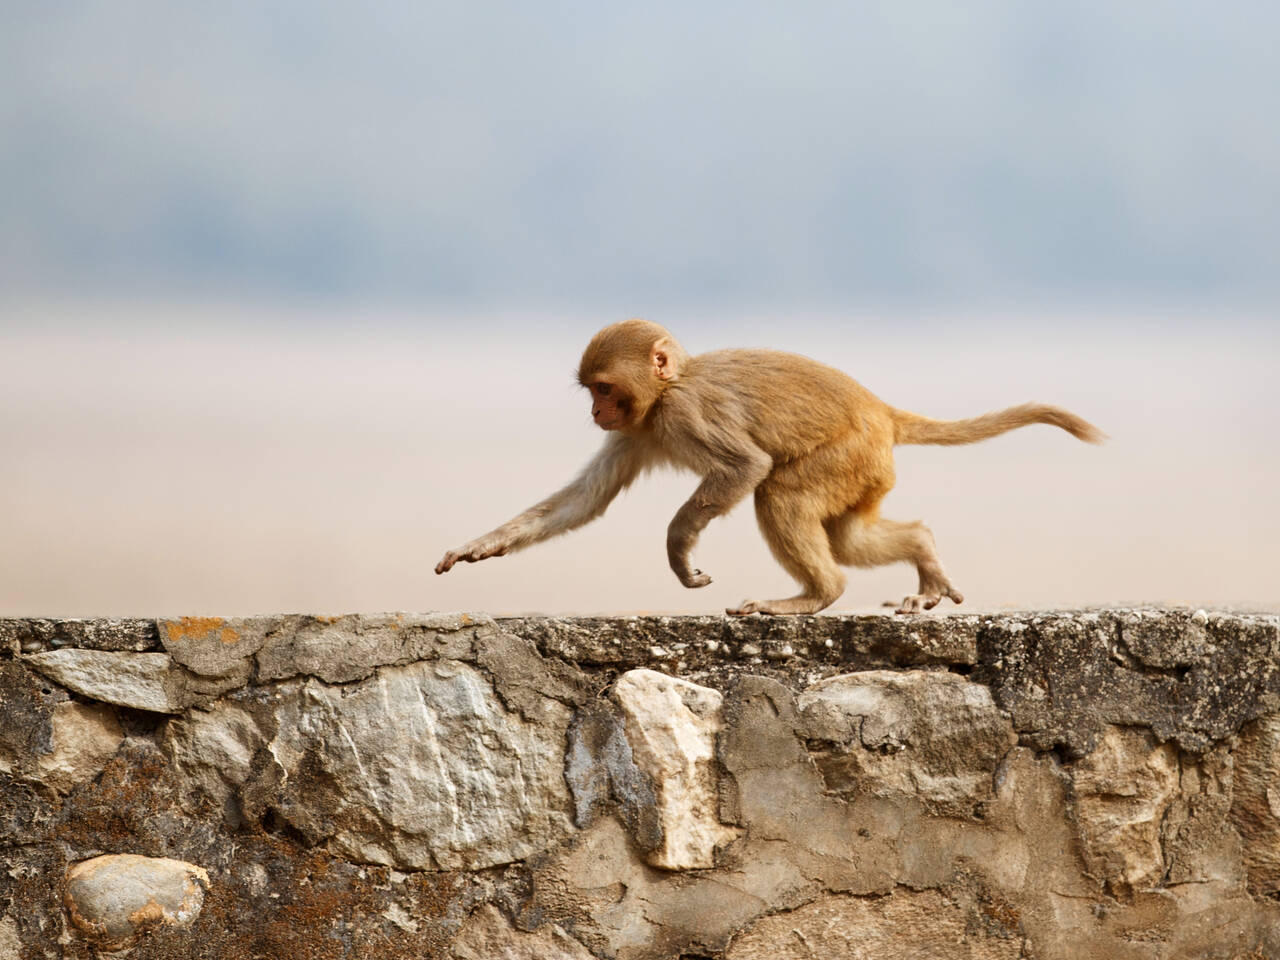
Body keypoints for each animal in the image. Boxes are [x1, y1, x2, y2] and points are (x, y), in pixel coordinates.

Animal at [437, 317, 1100, 616]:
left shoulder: (680, 413)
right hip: (868, 473)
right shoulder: (638, 431)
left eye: (603, 388)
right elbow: (587, 499)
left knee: (778, 492)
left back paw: (815, 595)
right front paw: (479, 546)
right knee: (851, 535)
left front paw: (680, 550)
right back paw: (923, 553)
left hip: (848, 454)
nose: (597, 412)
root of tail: (881, 411)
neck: (668, 387)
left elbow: (744, 466)